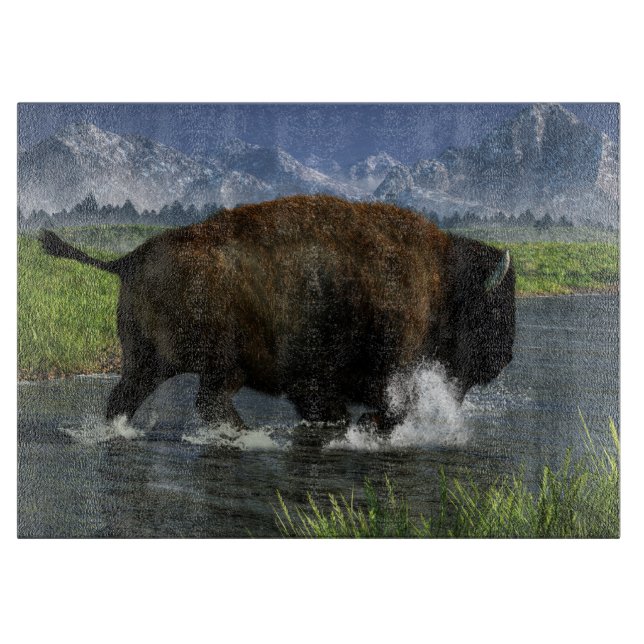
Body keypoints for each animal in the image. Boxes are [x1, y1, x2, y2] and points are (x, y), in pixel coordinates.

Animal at [40, 195, 515, 432]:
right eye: (494, 309)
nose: (504, 359)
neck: (441, 278)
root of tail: (128, 258)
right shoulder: (381, 366)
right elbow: (378, 406)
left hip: (148, 362)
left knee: (125, 398)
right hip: (215, 363)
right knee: (208, 402)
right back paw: (247, 436)